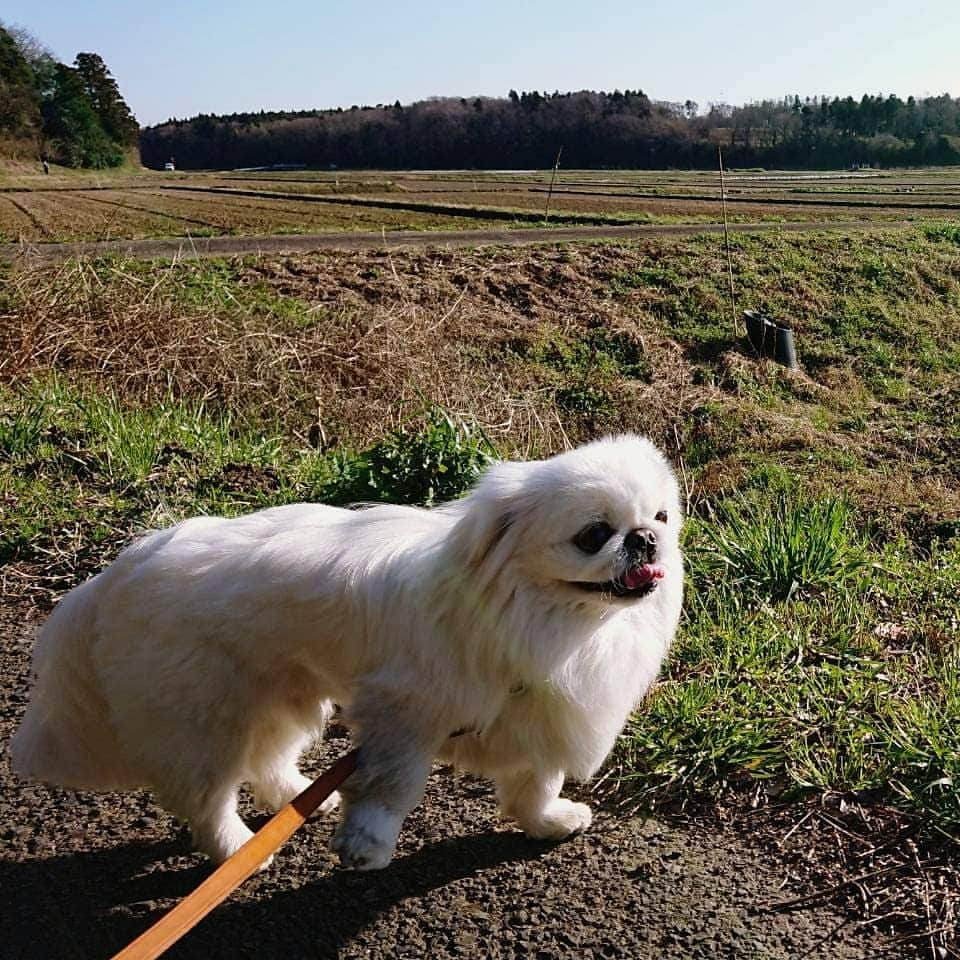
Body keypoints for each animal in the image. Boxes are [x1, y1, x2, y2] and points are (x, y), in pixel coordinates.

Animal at [9, 436, 684, 872]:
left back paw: (302, 798)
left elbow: (536, 784)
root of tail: (119, 572)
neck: (561, 623)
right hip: (206, 721)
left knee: (267, 758)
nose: (644, 540)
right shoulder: (406, 714)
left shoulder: (539, 712)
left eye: (659, 516)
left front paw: (549, 822)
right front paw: (367, 847)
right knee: (207, 799)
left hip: (282, 695)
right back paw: (239, 850)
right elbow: (391, 786)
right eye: (593, 535)